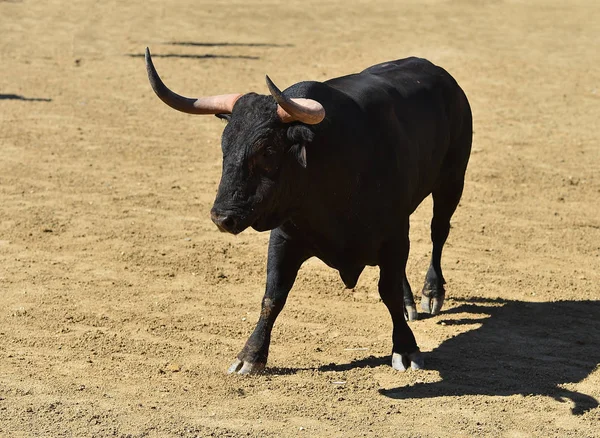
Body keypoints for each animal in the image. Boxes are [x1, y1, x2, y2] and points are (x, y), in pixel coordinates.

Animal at [143, 48, 472, 376]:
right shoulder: (284, 238)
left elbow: (387, 290)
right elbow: (273, 295)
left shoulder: (392, 233)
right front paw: (251, 354)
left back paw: (431, 293)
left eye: (267, 150)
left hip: (452, 181)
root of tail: (439, 74)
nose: (222, 217)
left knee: (438, 232)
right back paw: (409, 303)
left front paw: (405, 348)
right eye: (225, 147)